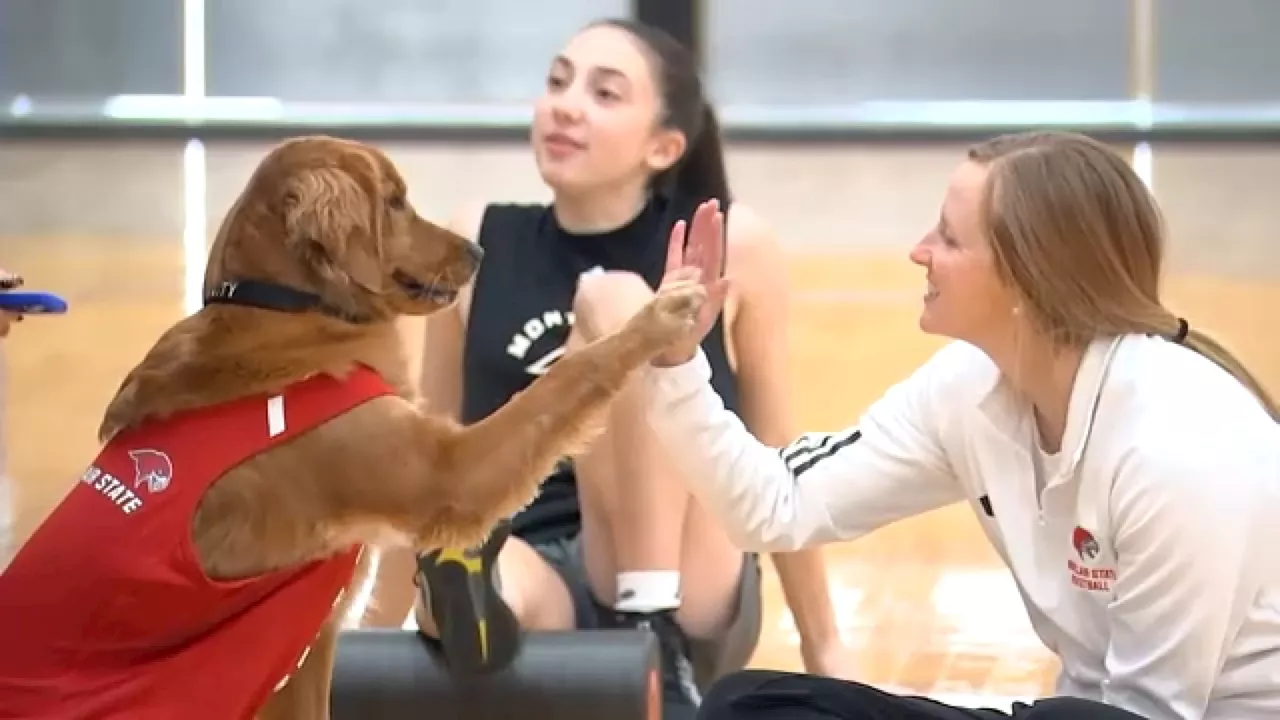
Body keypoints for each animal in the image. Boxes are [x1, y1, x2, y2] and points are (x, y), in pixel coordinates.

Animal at [0, 135, 706, 717]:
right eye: (394, 202)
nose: (477, 249)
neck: (292, 312)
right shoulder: (449, 473)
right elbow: (566, 376)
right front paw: (655, 318)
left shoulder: (307, 657)